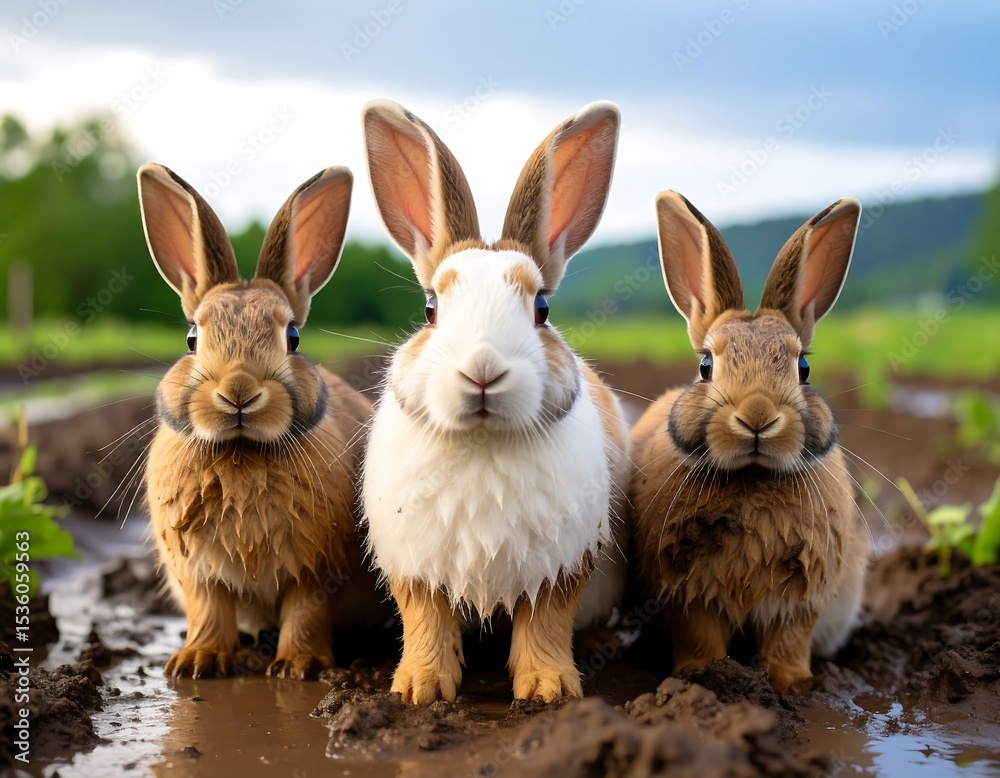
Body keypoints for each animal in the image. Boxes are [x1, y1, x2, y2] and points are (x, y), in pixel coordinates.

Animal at [138, 163, 374, 680]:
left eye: (293, 336)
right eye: (192, 338)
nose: (239, 393)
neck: (242, 452)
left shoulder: (317, 568)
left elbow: (305, 613)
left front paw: (299, 667)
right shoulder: (197, 571)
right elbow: (208, 611)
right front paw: (196, 663)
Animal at [360, 99, 631, 705]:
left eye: (542, 309)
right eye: (431, 308)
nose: (482, 369)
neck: (482, 442)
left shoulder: (562, 565)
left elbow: (546, 624)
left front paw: (548, 691)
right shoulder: (415, 565)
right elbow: (426, 622)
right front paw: (419, 690)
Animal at [630, 191, 869, 693]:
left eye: (803, 368)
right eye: (705, 365)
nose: (757, 417)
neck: (752, 480)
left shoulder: (801, 596)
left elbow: (788, 641)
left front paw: (792, 685)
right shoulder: (686, 593)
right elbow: (700, 637)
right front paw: (700, 676)